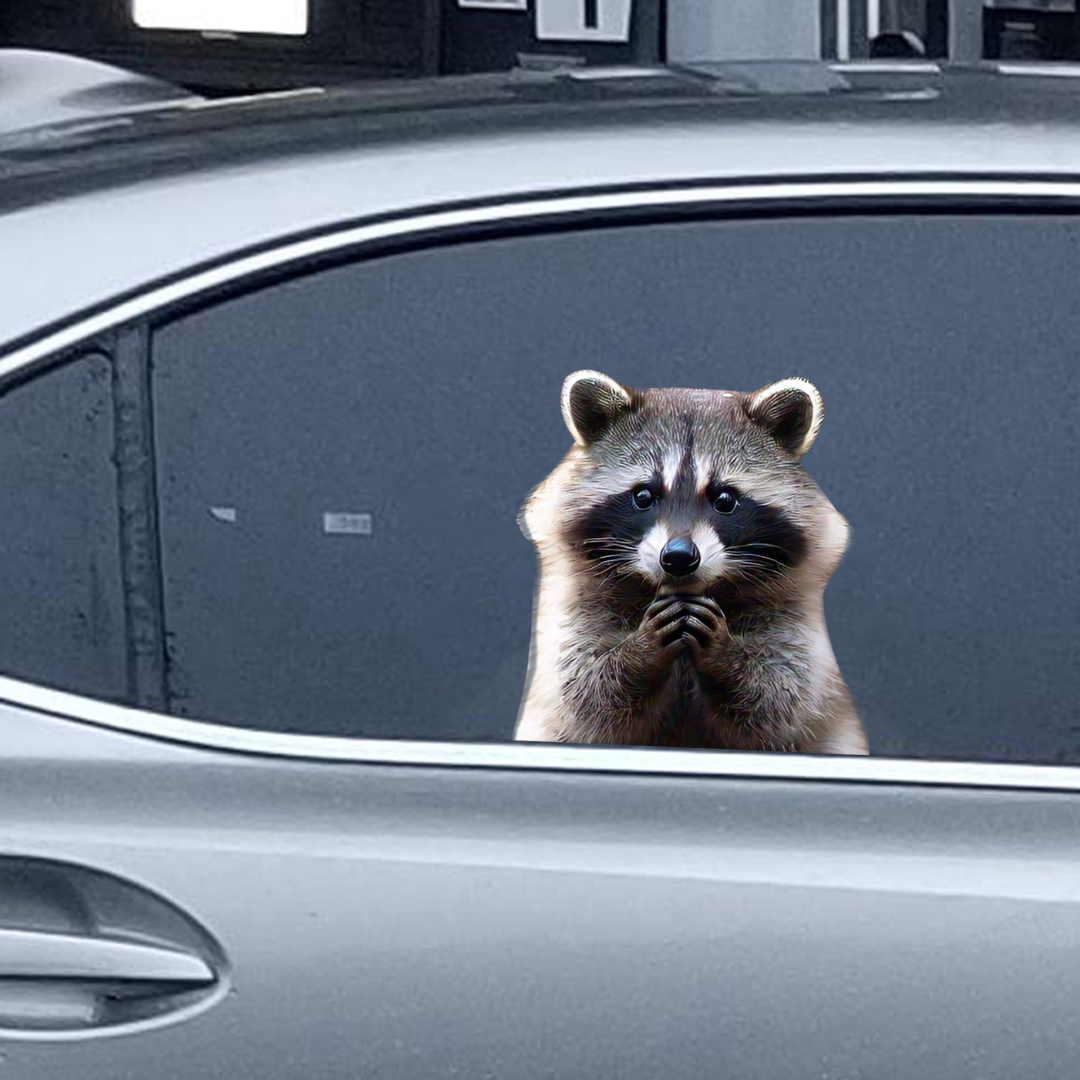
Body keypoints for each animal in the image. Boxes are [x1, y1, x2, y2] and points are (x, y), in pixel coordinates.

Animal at [514, 371, 867, 755]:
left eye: (725, 500)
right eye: (643, 496)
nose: (679, 557)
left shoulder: (789, 607)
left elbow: (782, 691)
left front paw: (726, 656)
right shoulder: (579, 603)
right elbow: (584, 687)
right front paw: (638, 652)